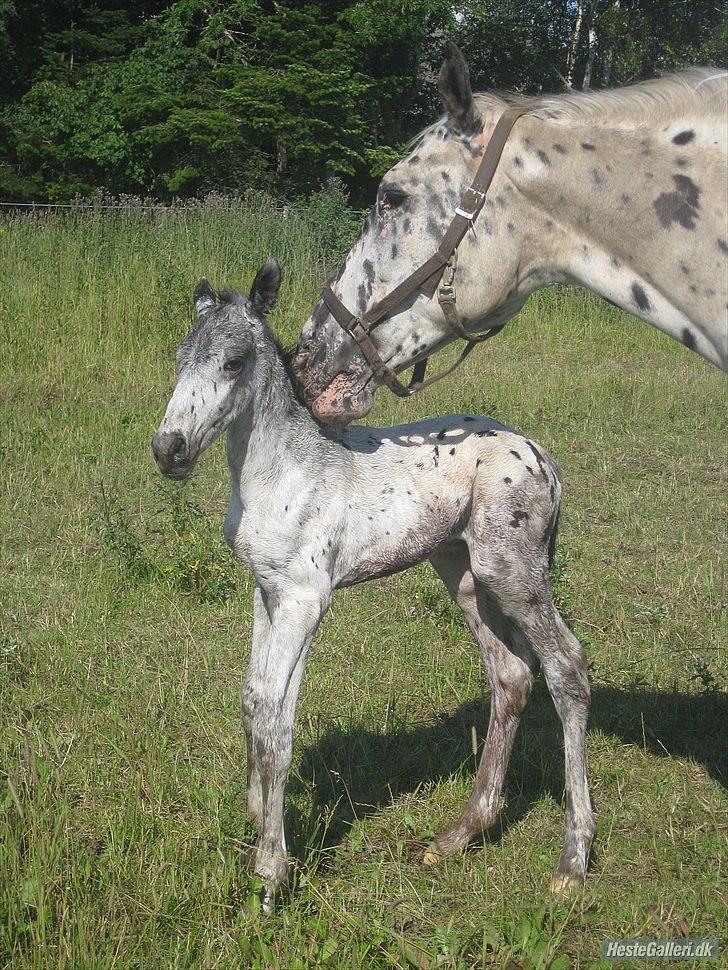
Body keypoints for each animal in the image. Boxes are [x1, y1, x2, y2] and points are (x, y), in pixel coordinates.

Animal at [151, 260, 596, 912]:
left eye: (232, 362)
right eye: (182, 358)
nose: (169, 449)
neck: (284, 471)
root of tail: (541, 456)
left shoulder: (306, 599)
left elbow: (275, 719)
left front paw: (270, 873)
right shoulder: (267, 591)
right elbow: (255, 699)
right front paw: (256, 815)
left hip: (513, 571)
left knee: (567, 669)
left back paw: (573, 858)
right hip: (464, 574)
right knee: (511, 676)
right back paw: (461, 834)